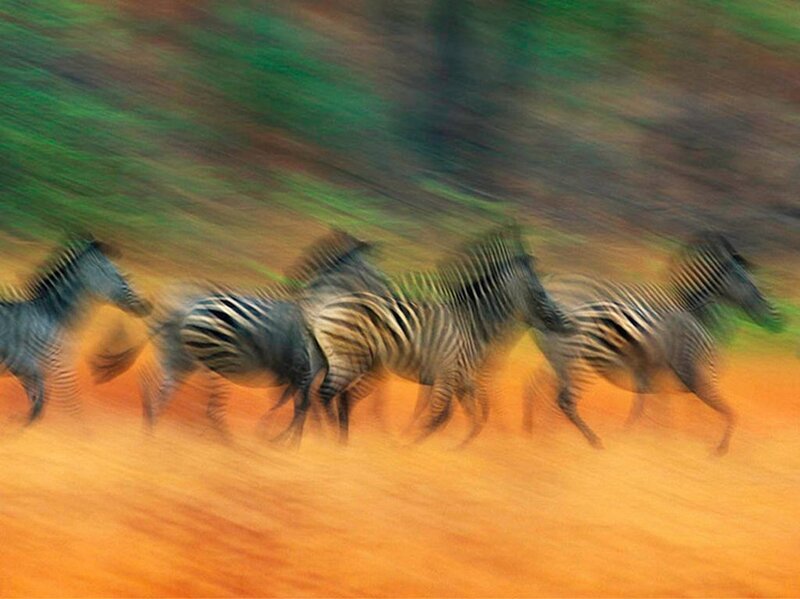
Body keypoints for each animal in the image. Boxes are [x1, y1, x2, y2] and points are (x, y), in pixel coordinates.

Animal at [0, 237, 151, 423]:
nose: (148, 306)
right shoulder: (48, 369)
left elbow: (41, 408)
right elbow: (65, 408)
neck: (53, 318)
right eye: (122, 277)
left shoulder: (39, 372)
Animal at [91, 230, 391, 445]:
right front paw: (291, 440)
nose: (388, 299)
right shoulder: (303, 369)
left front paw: (287, 437)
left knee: (156, 387)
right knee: (209, 407)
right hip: (211, 360)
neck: (312, 311)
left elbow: (294, 403)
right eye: (376, 276)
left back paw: (151, 435)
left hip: (179, 357)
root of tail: (179, 309)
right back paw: (229, 446)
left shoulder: (296, 373)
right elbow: (301, 405)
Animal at [311, 226, 574, 444]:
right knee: (327, 394)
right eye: (539, 293)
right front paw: (411, 446)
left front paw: (449, 448)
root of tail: (328, 306)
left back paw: (341, 440)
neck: (472, 324)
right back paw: (329, 441)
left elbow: (474, 419)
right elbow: (441, 417)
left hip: (365, 364)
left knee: (342, 397)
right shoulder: (447, 374)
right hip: (350, 359)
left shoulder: (461, 381)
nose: (564, 323)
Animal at [524, 232, 783, 455]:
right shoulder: (673, 374)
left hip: (556, 355)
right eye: (748, 282)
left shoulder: (658, 377)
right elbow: (671, 413)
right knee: (559, 396)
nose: (772, 316)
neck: (689, 309)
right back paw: (578, 440)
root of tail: (552, 280)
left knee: (537, 387)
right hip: (573, 357)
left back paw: (537, 435)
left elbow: (654, 411)